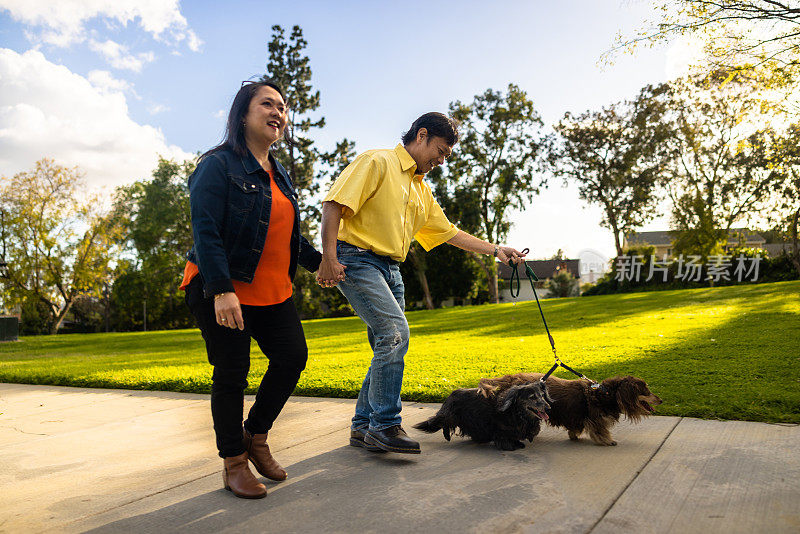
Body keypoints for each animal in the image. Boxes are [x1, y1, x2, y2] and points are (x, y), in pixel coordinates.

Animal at [412, 382, 552, 452]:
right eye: (532, 397)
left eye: (542, 395)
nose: (548, 408)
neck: (515, 412)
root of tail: (451, 395)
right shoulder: (500, 429)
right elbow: (504, 438)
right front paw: (511, 446)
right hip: (450, 415)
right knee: (443, 422)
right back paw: (447, 436)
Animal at [478, 372, 660, 448]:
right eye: (646, 391)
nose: (661, 400)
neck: (606, 393)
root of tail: (509, 378)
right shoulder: (596, 418)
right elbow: (601, 431)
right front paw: (608, 441)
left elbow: (576, 428)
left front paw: (574, 435)